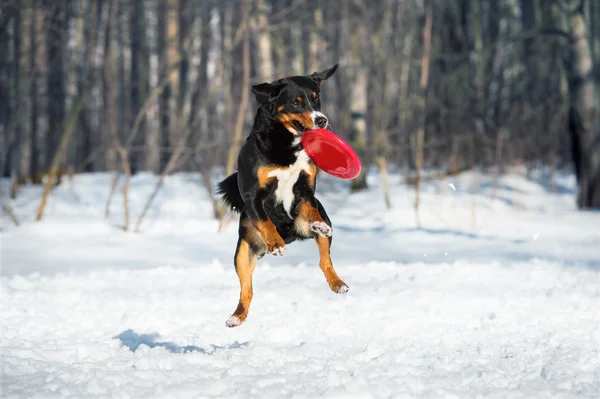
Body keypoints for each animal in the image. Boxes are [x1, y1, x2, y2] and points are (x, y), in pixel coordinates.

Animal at [217, 65, 346, 328]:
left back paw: (337, 281)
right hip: (244, 251)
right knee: (247, 290)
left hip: (311, 228)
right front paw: (275, 244)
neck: (289, 147)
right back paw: (236, 316)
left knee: (324, 260)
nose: (322, 119)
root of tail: (292, 234)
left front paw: (318, 223)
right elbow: (265, 220)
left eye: (316, 99)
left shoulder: (305, 190)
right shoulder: (254, 195)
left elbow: (311, 206)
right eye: (296, 102)